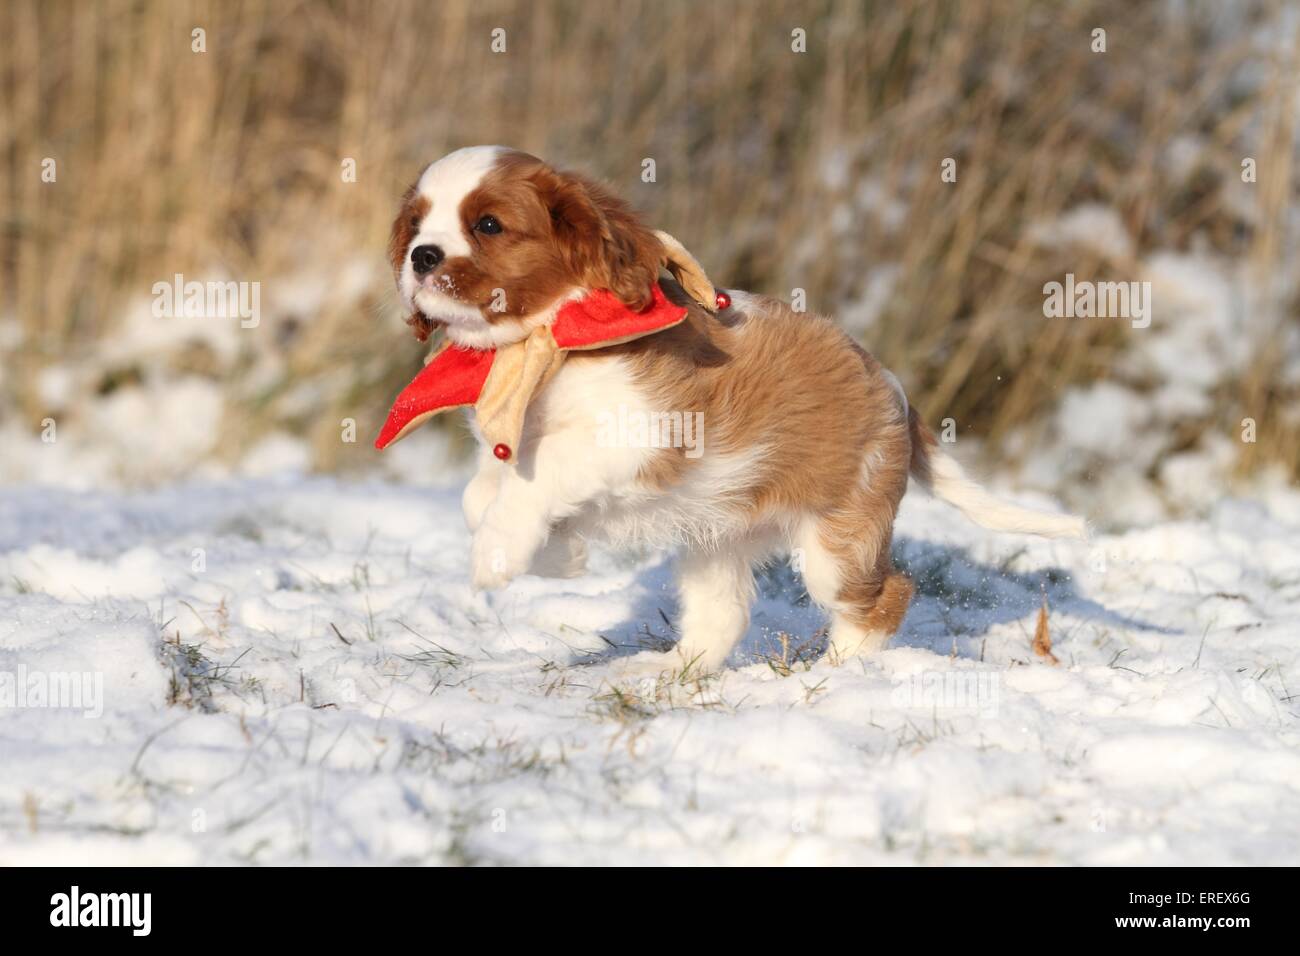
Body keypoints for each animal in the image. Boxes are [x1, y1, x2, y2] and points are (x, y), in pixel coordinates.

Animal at [384, 147, 1086, 671]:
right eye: (416, 226)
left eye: (488, 226)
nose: (422, 256)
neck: (541, 344)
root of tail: (894, 388)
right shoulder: (514, 447)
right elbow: (480, 494)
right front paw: (561, 556)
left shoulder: (642, 432)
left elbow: (539, 474)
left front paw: (500, 553)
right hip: (716, 530)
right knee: (723, 613)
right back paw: (669, 671)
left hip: (838, 536)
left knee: (885, 595)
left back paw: (840, 675)